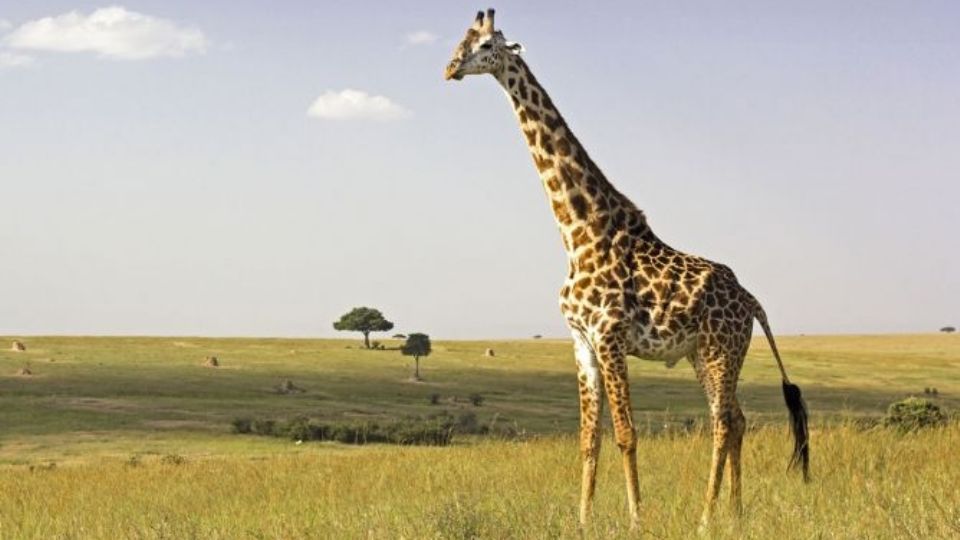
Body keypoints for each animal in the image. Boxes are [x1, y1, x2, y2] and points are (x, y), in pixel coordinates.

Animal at [446, 9, 808, 532]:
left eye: (487, 44)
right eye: (461, 40)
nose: (450, 68)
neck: (578, 232)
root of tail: (753, 301)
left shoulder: (610, 336)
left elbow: (626, 433)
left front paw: (637, 519)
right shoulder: (581, 341)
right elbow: (588, 437)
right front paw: (582, 519)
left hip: (721, 348)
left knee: (722, 422)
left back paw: (705, 518)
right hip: (704, 354)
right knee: (737, 420)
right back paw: (735, 514)